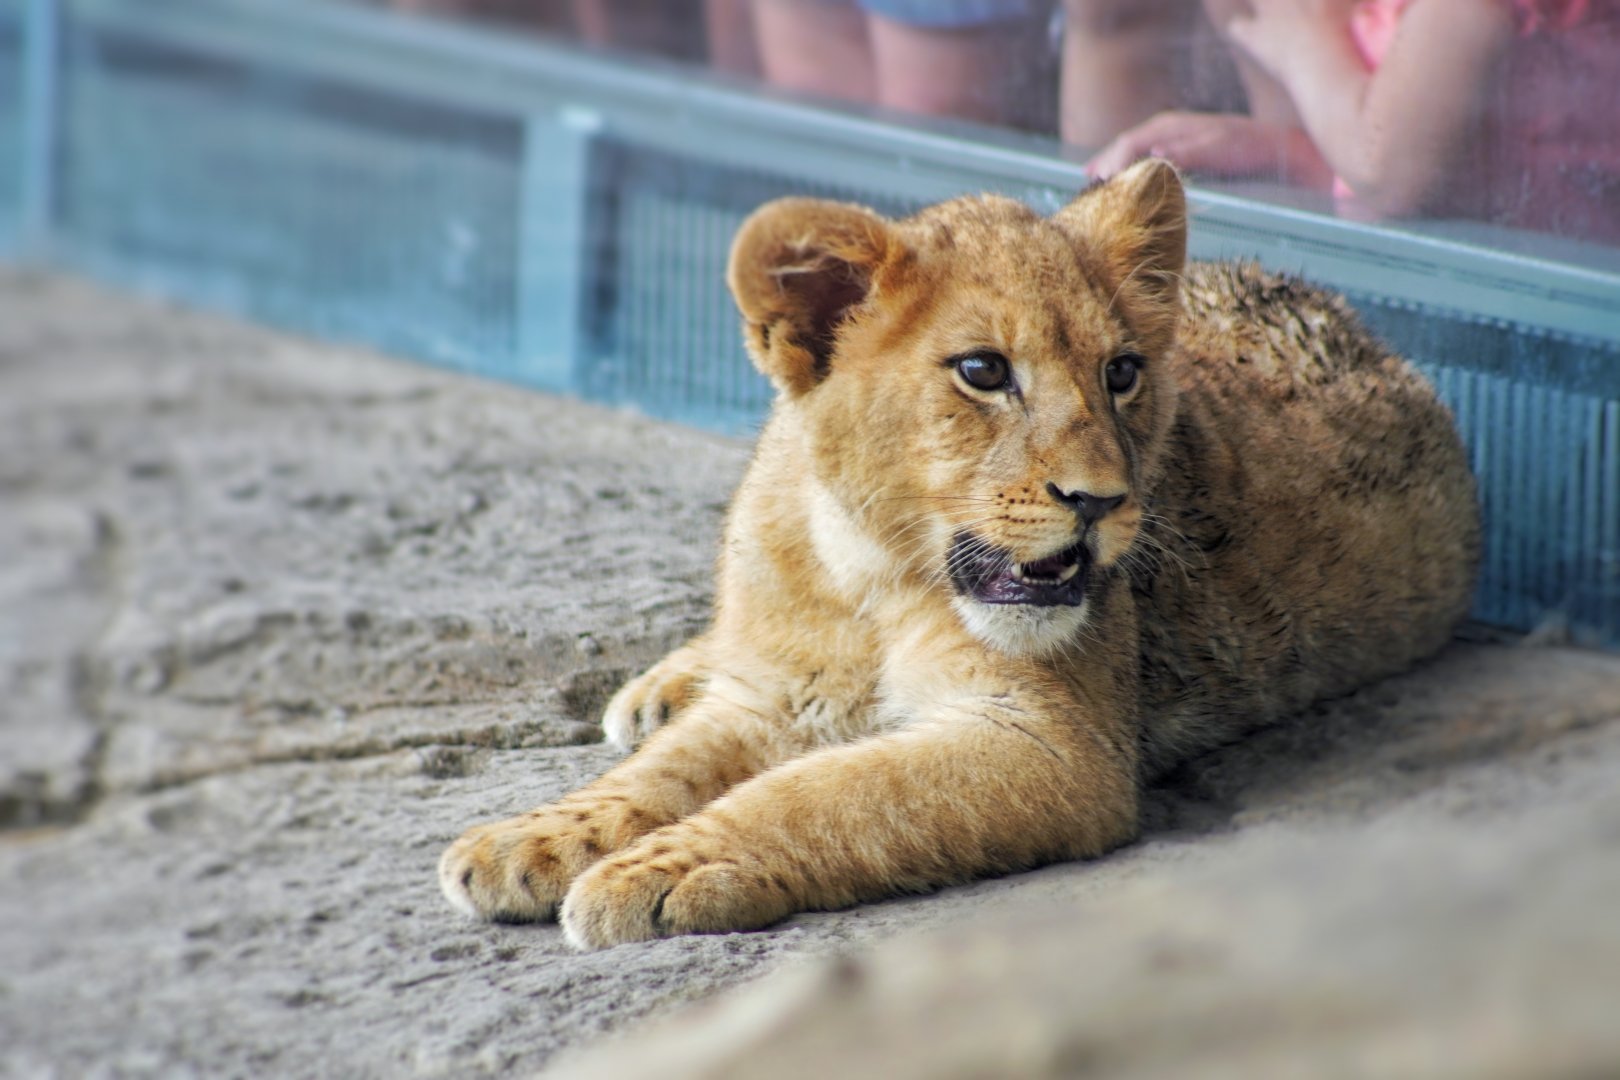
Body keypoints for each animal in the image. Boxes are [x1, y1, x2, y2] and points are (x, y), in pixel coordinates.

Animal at [439, 159, 1480, 949]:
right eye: (983, 372)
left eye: (1122, 372)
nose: (1101, 501)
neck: (866, 576)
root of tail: (1360, 320)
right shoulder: (772, 697)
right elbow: (657, 777)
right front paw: (525, 842)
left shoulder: (1054, 746)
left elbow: (829, 794)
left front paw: (663, 869)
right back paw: (662, 686)